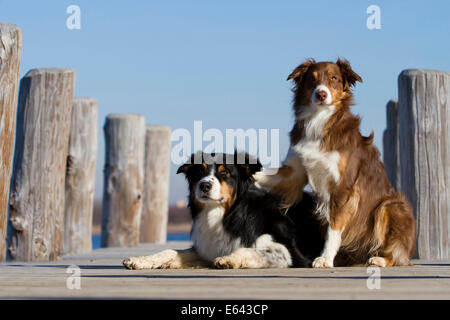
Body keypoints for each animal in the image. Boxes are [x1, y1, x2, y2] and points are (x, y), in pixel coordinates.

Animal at [121, 152, 322, 270]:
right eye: (198, 173)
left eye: (224, 172)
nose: (204, 185)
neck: (224, 214)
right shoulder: (206, 247)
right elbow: (170, 251)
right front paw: (142, 260)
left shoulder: (288, 253)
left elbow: (249, 250)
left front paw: (228, 259)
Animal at [255, 58, 416, 268]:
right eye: (312, 79)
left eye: (334, 78)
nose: (321, 94)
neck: (319, 120)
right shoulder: (294, 172)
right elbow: (269, 176)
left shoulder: (343, 188)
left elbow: (333, 229)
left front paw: (325, 258)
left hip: (390, 205)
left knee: (398, 253)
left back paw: (380, 259)